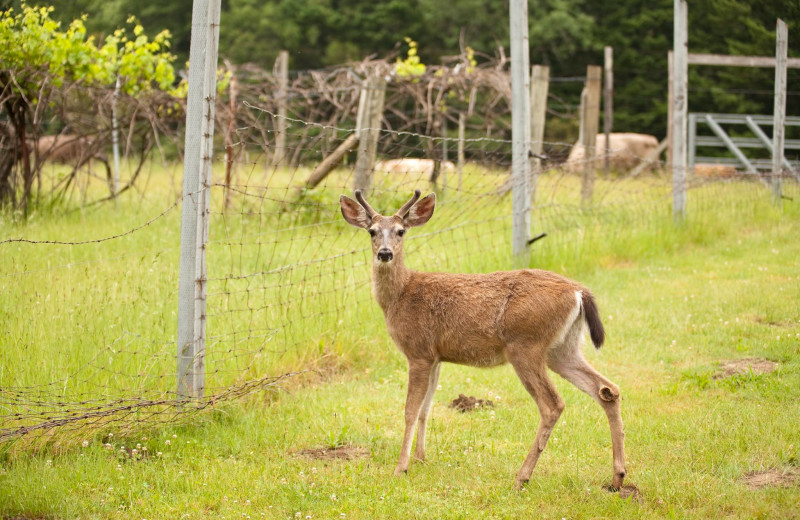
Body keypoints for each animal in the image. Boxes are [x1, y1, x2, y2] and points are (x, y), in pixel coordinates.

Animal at [338, 189, 624, 490]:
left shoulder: (418, 352)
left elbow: (410, 410)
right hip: (562, 348)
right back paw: (617, 477)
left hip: (526, 345)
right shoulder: (435, 356)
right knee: (607, 389)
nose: (385, 253)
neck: (400, 294)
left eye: (400, 231)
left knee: (553, 404)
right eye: (371, 231)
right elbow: (426, 408)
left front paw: (401, 467)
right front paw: (420, 458)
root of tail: (579, 292)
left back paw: (522, 477)